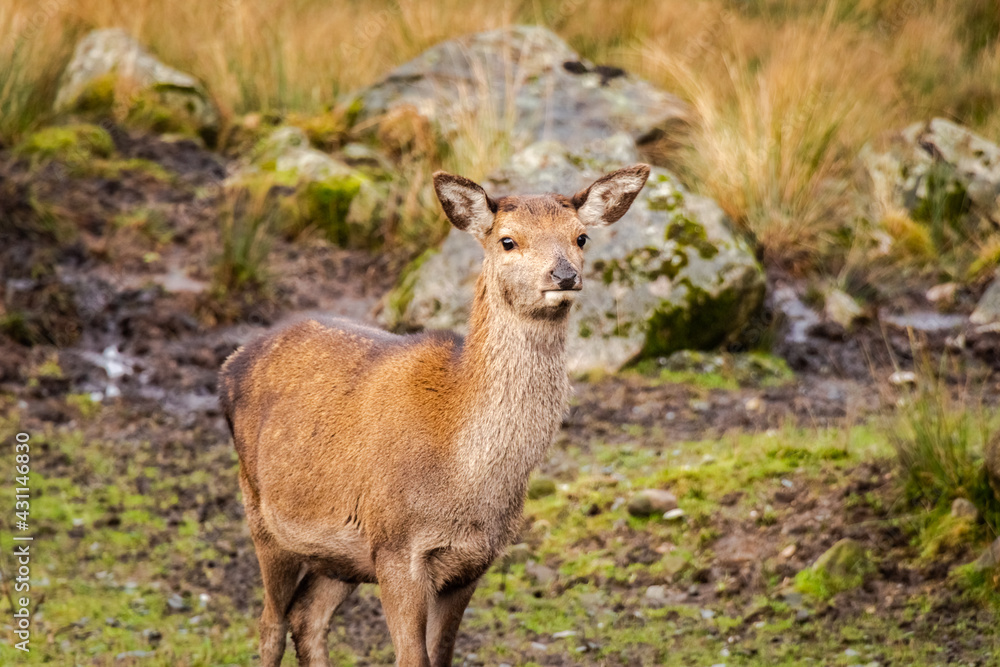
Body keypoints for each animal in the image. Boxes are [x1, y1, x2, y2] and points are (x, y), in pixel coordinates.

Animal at [219, 163, 652, 667]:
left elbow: (440, 655)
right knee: (270, 623)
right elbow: (413, 658)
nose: (564, 275)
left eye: (581, 237)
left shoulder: (472, 563)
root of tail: (231, 364)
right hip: (264, 516)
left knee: (306, 617)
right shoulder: (396, 549)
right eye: (508, 240)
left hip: (341, 556)